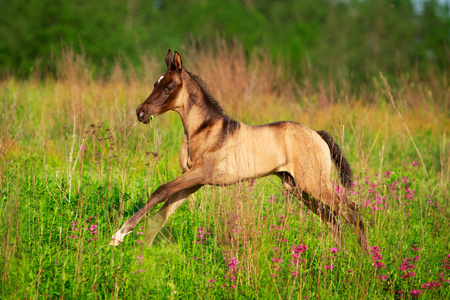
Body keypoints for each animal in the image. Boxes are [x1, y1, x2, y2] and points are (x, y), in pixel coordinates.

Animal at [109, 49, 370, 253]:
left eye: (169, 86)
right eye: (155, 84)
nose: (141, 112)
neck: (203, 130)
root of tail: (317, 134)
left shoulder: (201, 173)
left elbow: (160, 191)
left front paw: (119, 234)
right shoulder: (193, 181)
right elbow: (161, 215)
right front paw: (141, 256)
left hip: (314, 183)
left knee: (352, 213)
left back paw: (366, 261)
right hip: (296, 187)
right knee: (334, 220)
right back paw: (340, 258)